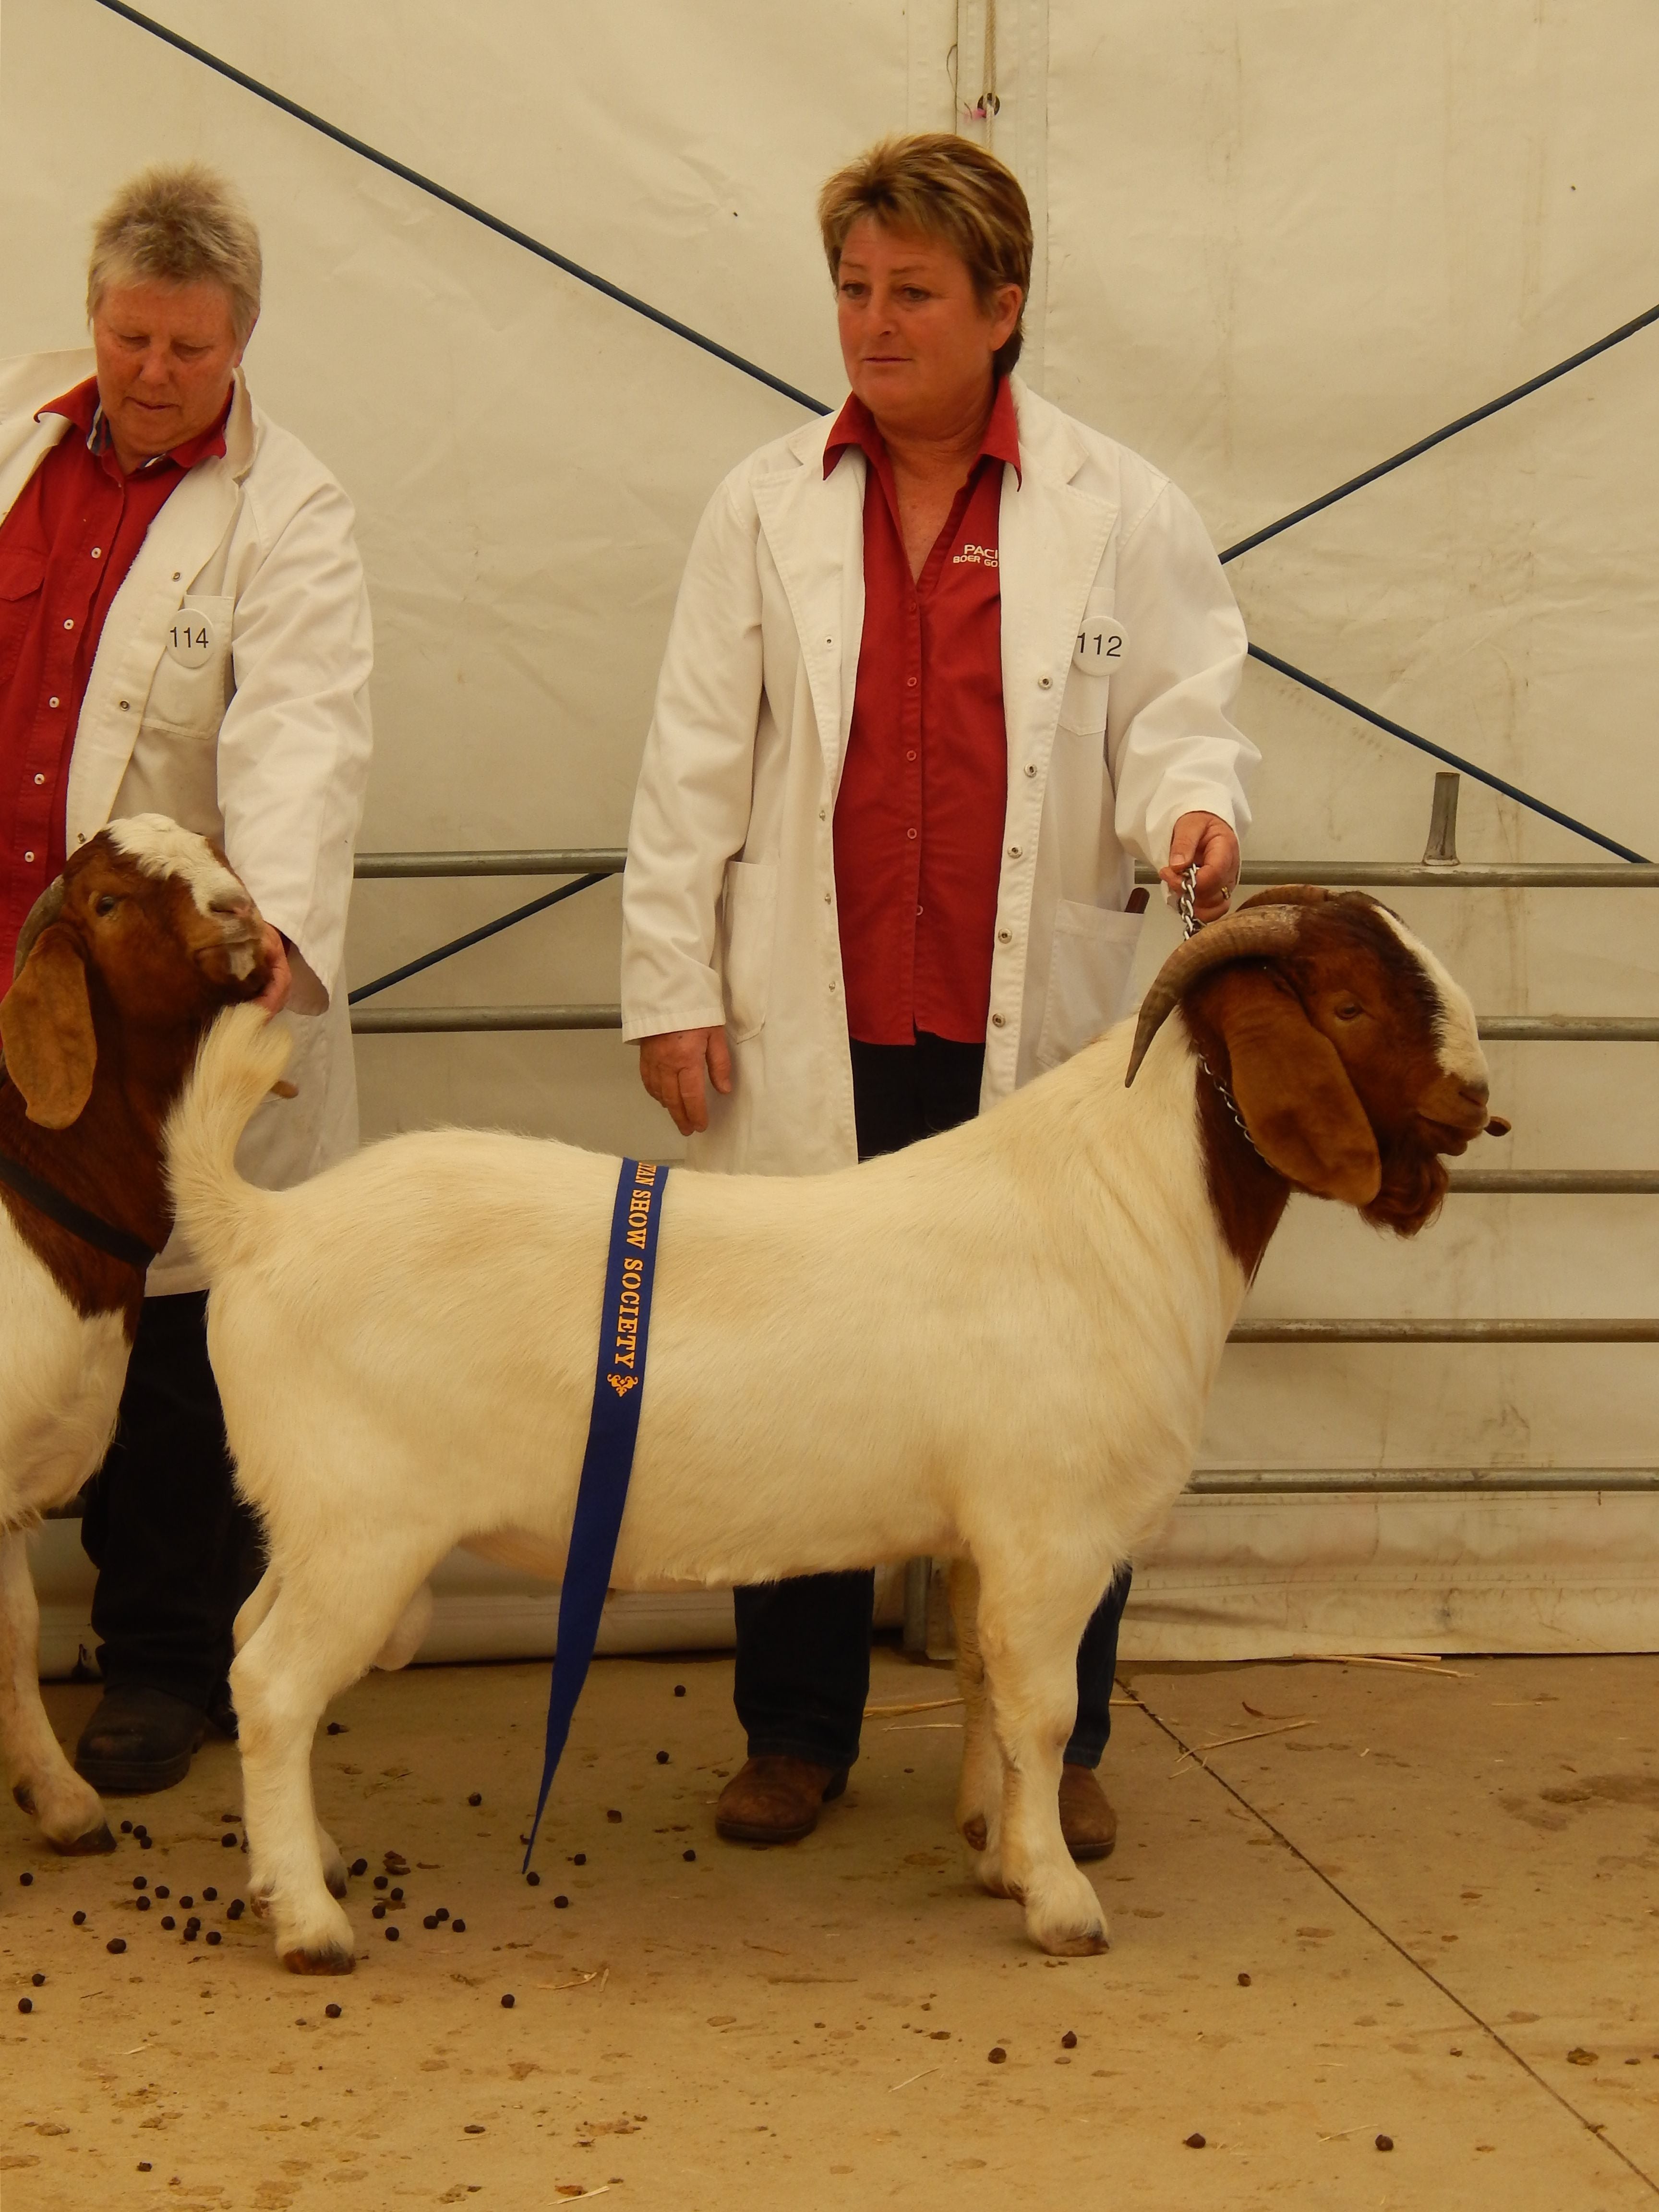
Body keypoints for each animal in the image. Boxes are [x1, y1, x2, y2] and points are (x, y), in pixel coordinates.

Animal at [166, 887, 1506, 1972]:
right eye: (1347, 1001)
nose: (1480, 1100)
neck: (1117, 1201)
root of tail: (260, 1225)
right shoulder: (1052, 1532)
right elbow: (1042, 1709)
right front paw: (1061, 1906)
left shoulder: (982, 1539)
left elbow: (983, 1687)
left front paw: (998, 1855)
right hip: (365, 1528)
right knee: (275, 1683)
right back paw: (310, 1925)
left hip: (308, 1522)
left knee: (245, 1645)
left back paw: (310, 1863)